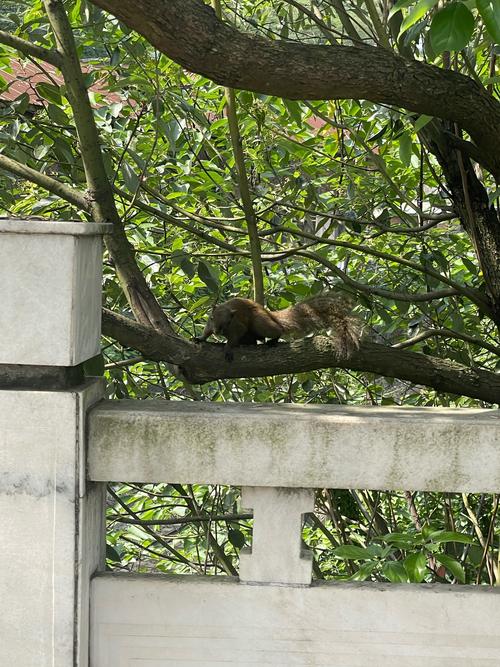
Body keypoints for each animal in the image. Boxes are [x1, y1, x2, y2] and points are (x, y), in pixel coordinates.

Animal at [193, 294, 362, 362]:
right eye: (211, 317)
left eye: (228, 322)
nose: (218, 331)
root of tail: (269, 314)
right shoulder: (209, 325)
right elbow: (205, 333)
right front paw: (199, 338)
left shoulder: (237, 326)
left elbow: (234, 338)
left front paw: (228, 348)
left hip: (260, 322)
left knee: (276, 330)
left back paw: (273, 340)